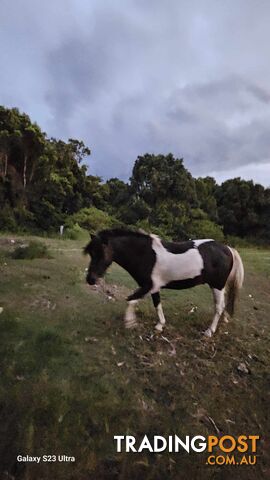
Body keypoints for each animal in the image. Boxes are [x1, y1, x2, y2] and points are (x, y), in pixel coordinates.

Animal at [84, 229, 245, 338]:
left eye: (101, 253)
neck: (145, 254)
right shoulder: (154, 287)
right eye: (91, 253)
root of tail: (228, 249)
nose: (90, 279)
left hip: (217, 285)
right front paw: (160, 325)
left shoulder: (148, 286)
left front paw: (130, 322)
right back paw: (224, 320)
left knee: (219, 307)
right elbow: (157, 304)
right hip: (219, 286)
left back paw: (209, 331)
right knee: (223, 305)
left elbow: (130, 300)